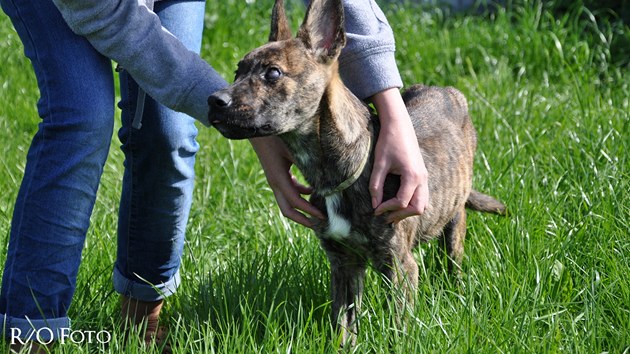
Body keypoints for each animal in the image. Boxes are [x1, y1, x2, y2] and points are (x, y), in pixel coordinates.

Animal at [207, 0, 508, 346]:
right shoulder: (344, 264)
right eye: (237, 71)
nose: (214, 100)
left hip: (454, 218)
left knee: (453, 257)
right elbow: (343, 323)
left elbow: (397, 330)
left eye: (272, 73)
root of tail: (446, 90)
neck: (336, 174)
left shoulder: (399, 265)